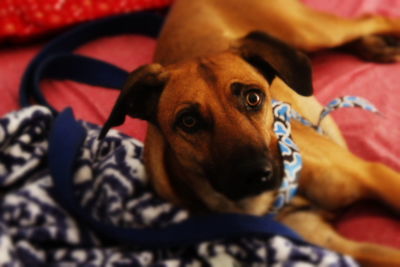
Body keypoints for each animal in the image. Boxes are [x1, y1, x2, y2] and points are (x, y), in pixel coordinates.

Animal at [101, 1, 400, 266]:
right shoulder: (330, 242)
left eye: (253, 97)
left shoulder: (375, 175)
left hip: (310, 31)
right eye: (188, 121)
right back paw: (375, 47)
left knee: (373, 18)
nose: (257, 174)